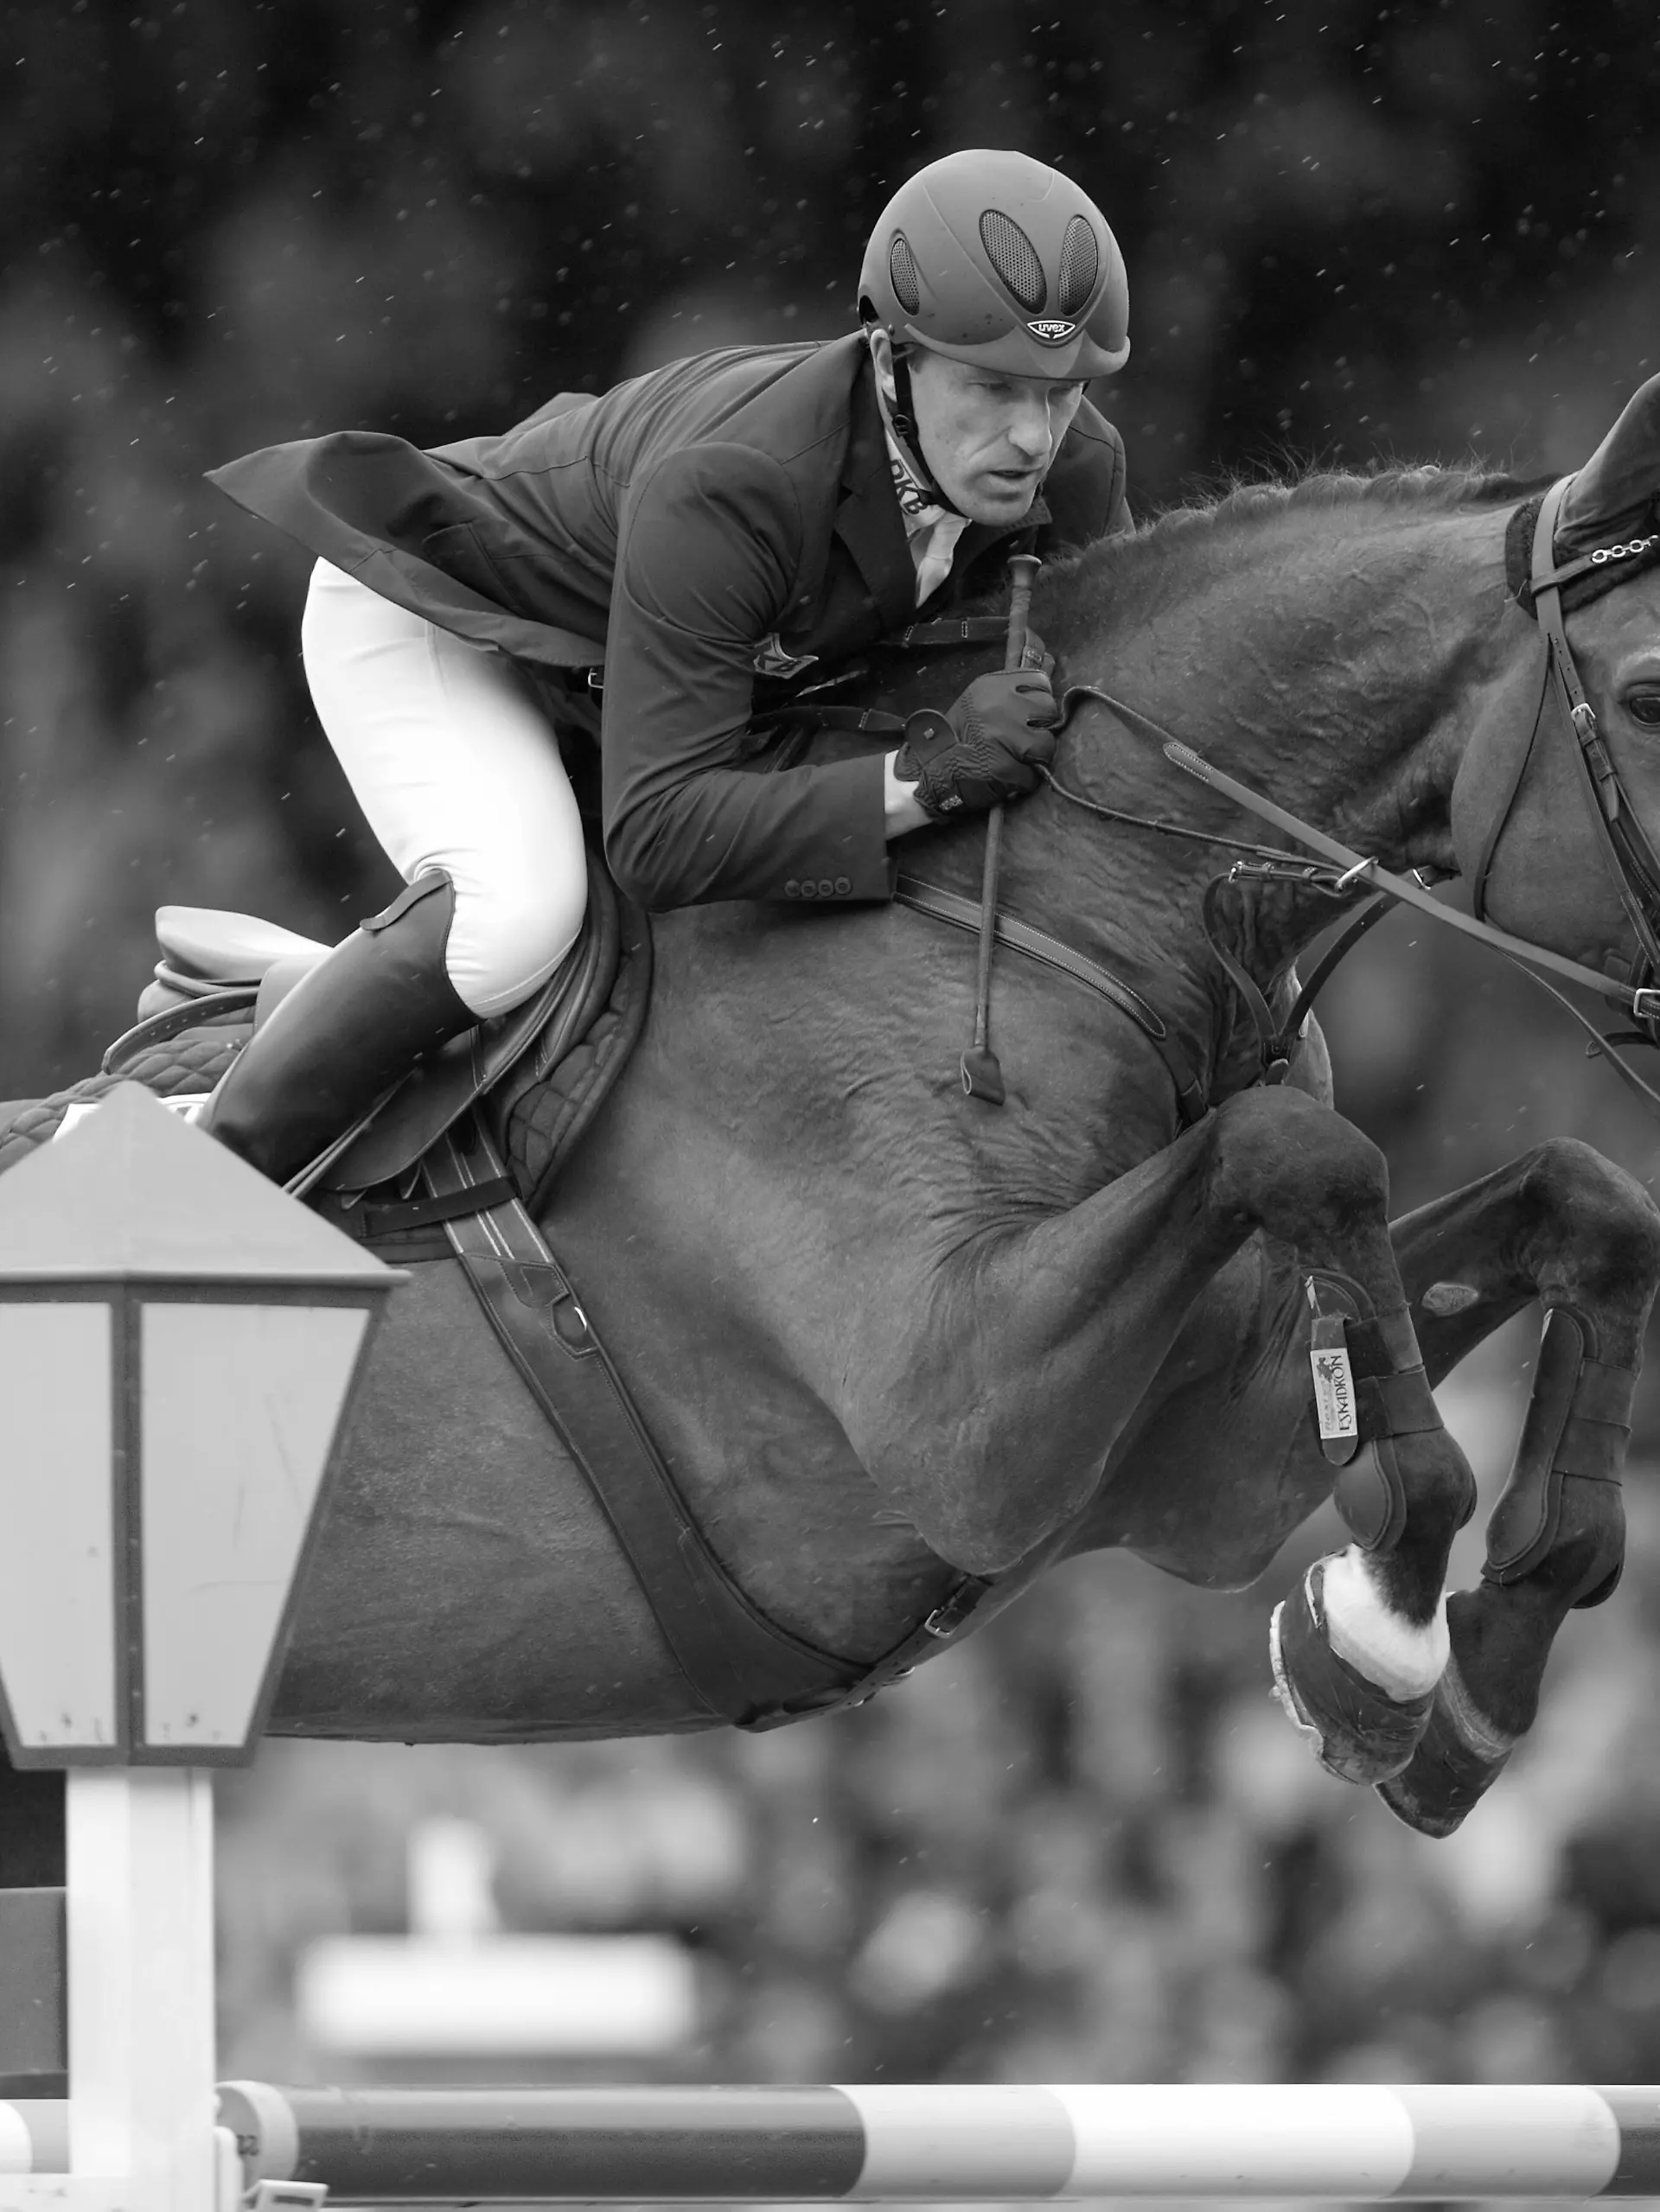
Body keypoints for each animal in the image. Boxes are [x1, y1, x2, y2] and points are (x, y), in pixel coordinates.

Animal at [5, 373, 1660, 1888]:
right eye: (1646, 693)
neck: (1067, 908)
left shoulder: (1198, 1457)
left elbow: (1585, 1200)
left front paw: (1481, 1672)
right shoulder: (960, 1418)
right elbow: (1301, 1154)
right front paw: (1380, 1647)